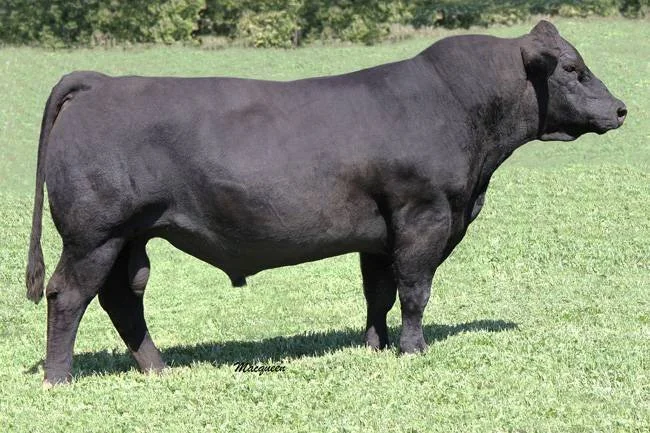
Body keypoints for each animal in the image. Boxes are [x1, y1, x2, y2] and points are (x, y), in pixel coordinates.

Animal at [26, 21, 626, 386]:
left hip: (130, 236)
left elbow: (379, 292)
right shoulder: (423, 214)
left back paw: (158, 368)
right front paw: (413, 350)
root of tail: (101, 82)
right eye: (572, 70)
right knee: (68, 294)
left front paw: (375, 346)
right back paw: (60, 378)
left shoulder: (380, 231)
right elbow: (415, 289)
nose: (620, 108)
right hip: (94, 235)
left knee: (122, 298)